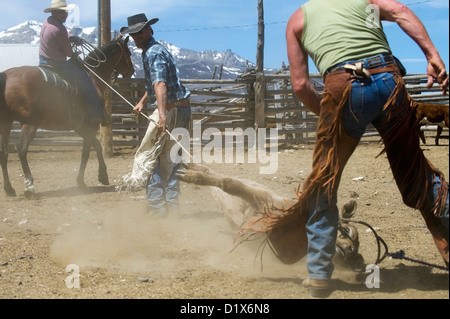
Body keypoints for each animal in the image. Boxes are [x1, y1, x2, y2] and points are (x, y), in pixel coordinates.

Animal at [0, 36, 134, 199]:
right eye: (128, 53)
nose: (132, 70)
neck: (93, 77)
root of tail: (7, 76)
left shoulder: (80, 127)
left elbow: (91, 148)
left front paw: (90, 179)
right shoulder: (90, 126)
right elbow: (90, 150)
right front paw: (97, 177)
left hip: (6, 122)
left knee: (3, 152)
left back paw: (9, 189)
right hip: (29, 123)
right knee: (21, 148)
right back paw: (29, 187)